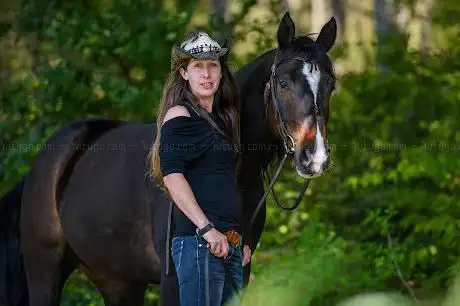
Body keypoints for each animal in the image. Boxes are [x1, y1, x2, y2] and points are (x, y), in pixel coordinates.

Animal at [0, 12, 338, 306]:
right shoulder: (174, 280)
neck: (238, 180)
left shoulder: (239, 272)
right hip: (45, 276)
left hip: (119, 283)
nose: (315, 157)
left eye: (331, 85)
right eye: (283, 82)